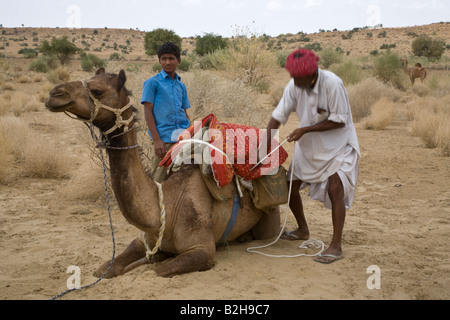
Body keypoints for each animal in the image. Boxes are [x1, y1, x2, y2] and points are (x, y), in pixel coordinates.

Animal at [44, 69, 280, 278]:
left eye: (97, 90)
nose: (54, 94)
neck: (167, 205)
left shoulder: (202, 250)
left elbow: (155, 273)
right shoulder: (142, 241)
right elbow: (105, 269)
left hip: (270, 217)